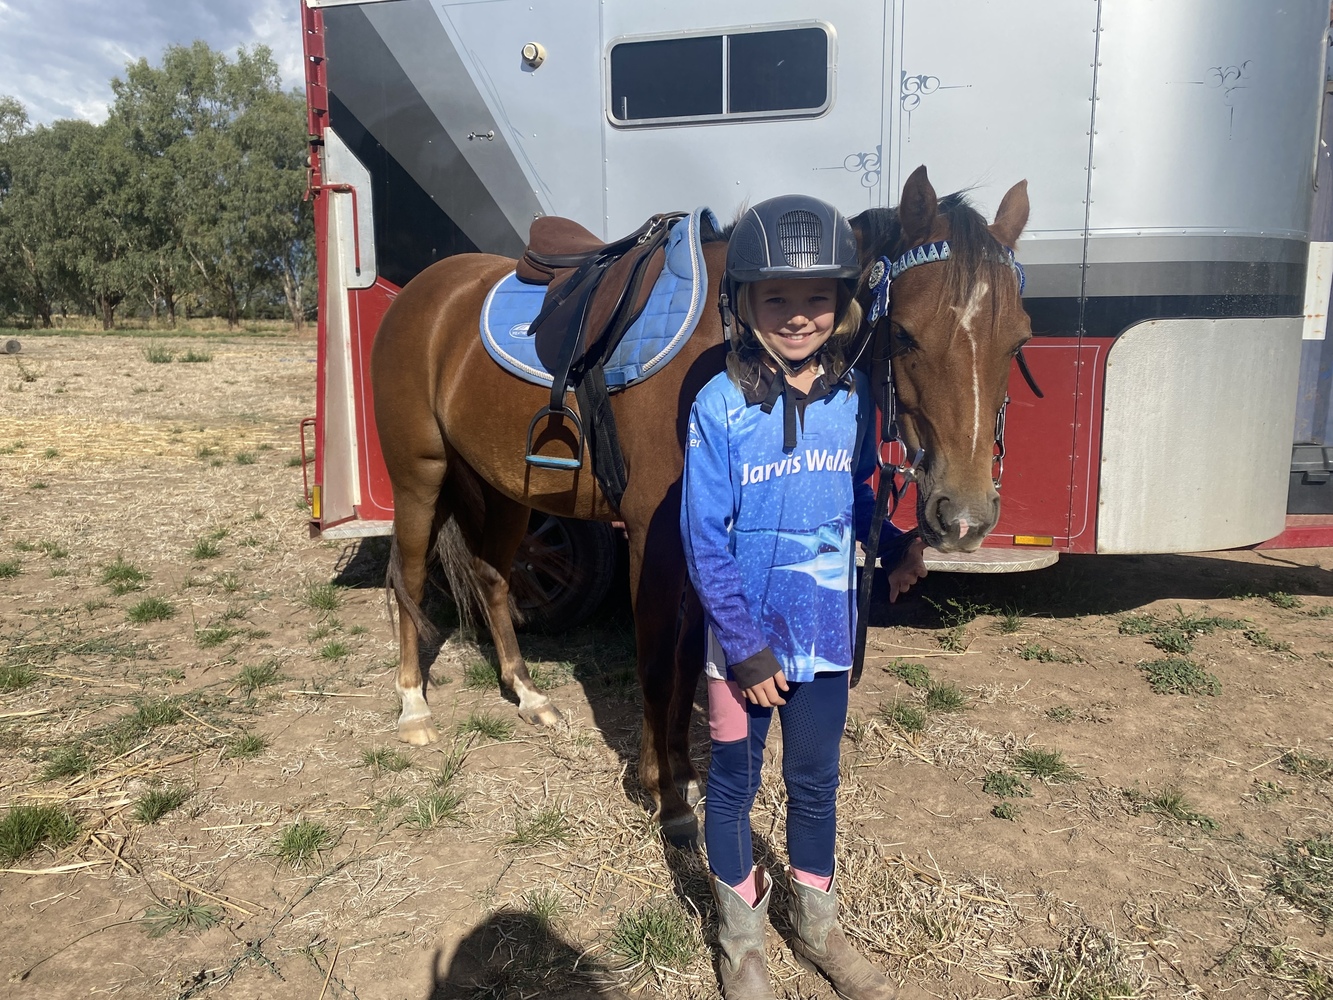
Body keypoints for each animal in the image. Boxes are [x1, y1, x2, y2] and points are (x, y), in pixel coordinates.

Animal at [369, 165, 1032, 842]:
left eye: (1017, 342)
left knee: (493, 579)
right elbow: (658, 665)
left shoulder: (700, 542)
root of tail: (426, 291)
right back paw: (414, 707)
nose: (964, 516)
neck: (732, 348)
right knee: (410, 578)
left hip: (507, 491)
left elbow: (689, 660)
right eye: (905, 334)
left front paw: (681, 773)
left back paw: (527, 695)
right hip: (420, 476)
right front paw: (664, 795)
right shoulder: (654, 537)